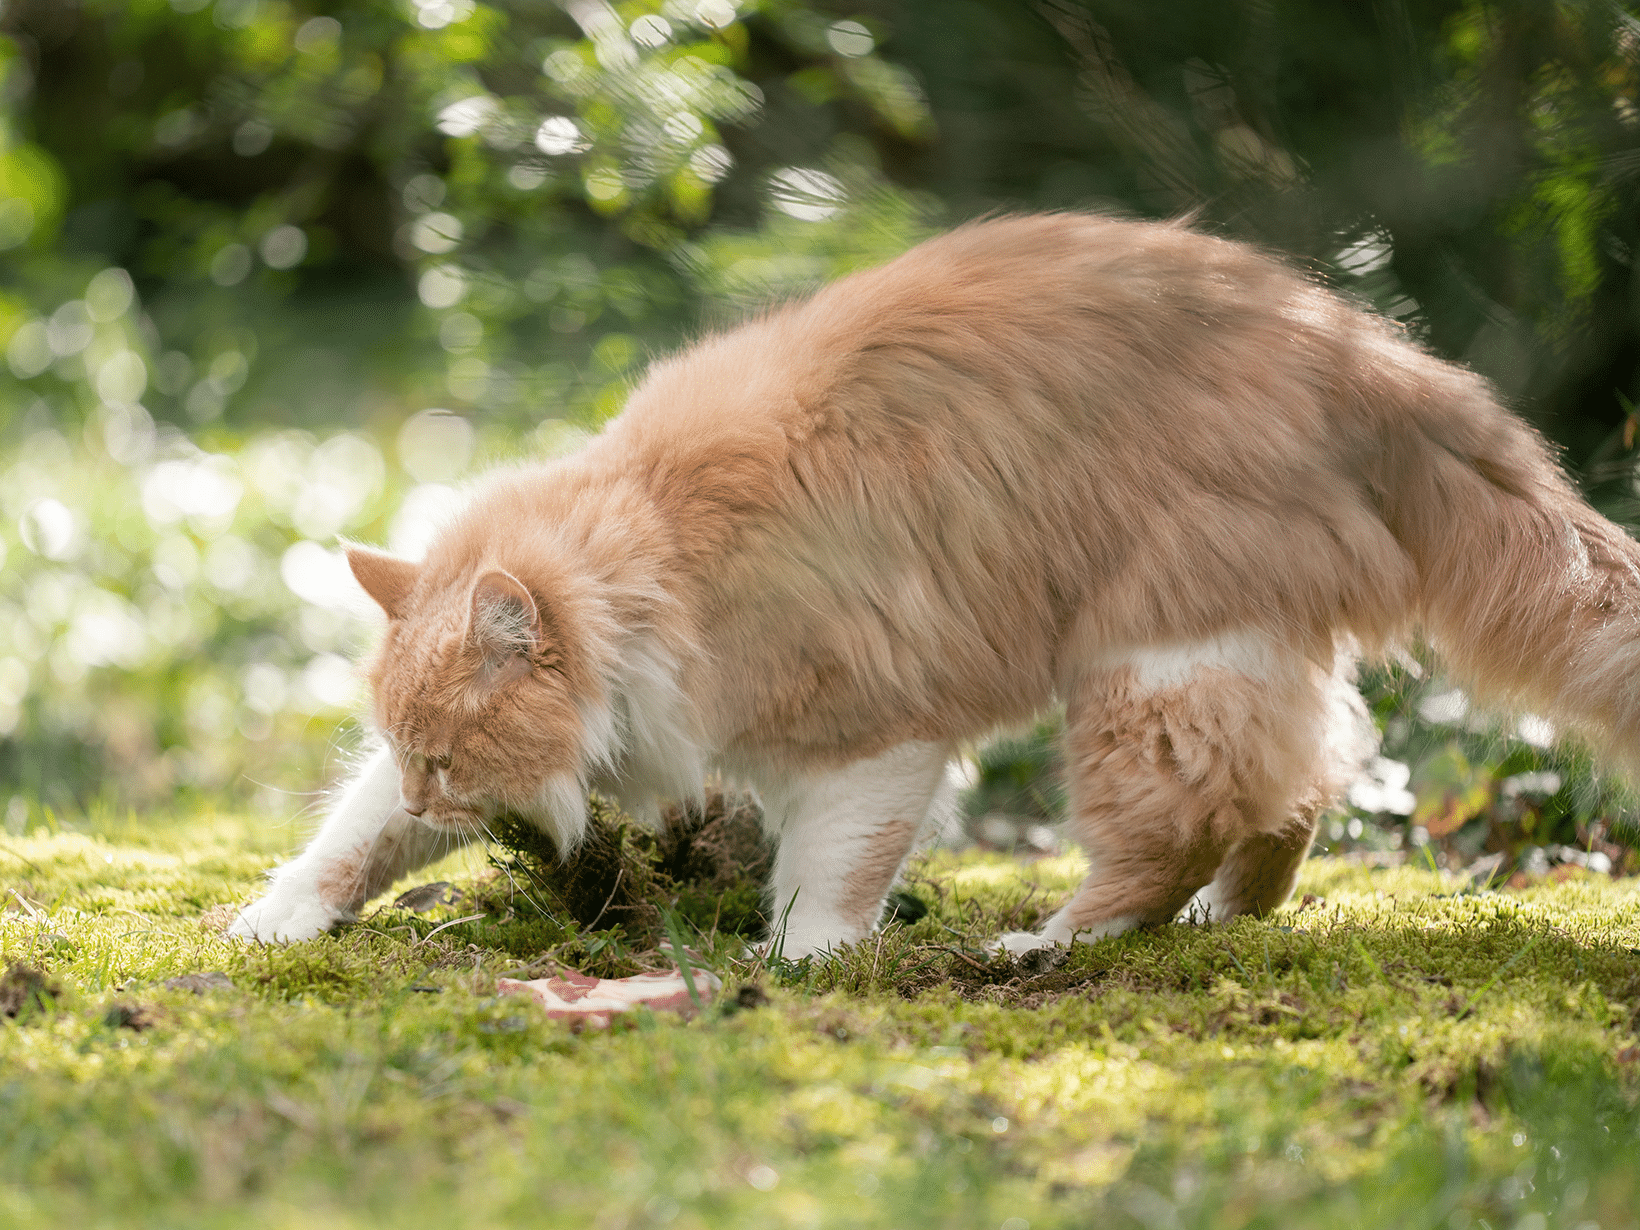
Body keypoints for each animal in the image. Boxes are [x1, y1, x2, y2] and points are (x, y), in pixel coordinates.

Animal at [227, 211, 1640, 957]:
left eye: (448, 759)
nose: (429, 788)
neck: (656, 554)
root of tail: (1360, 346)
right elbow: (348, 841)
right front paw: (278, 919)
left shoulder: (875, 738)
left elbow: (824, 876)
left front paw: (798, 967)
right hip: (1230, 657)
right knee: (1302, 787)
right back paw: (1218, 924)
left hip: (1145, 673)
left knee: (1180, 828)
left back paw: (1054, 943)